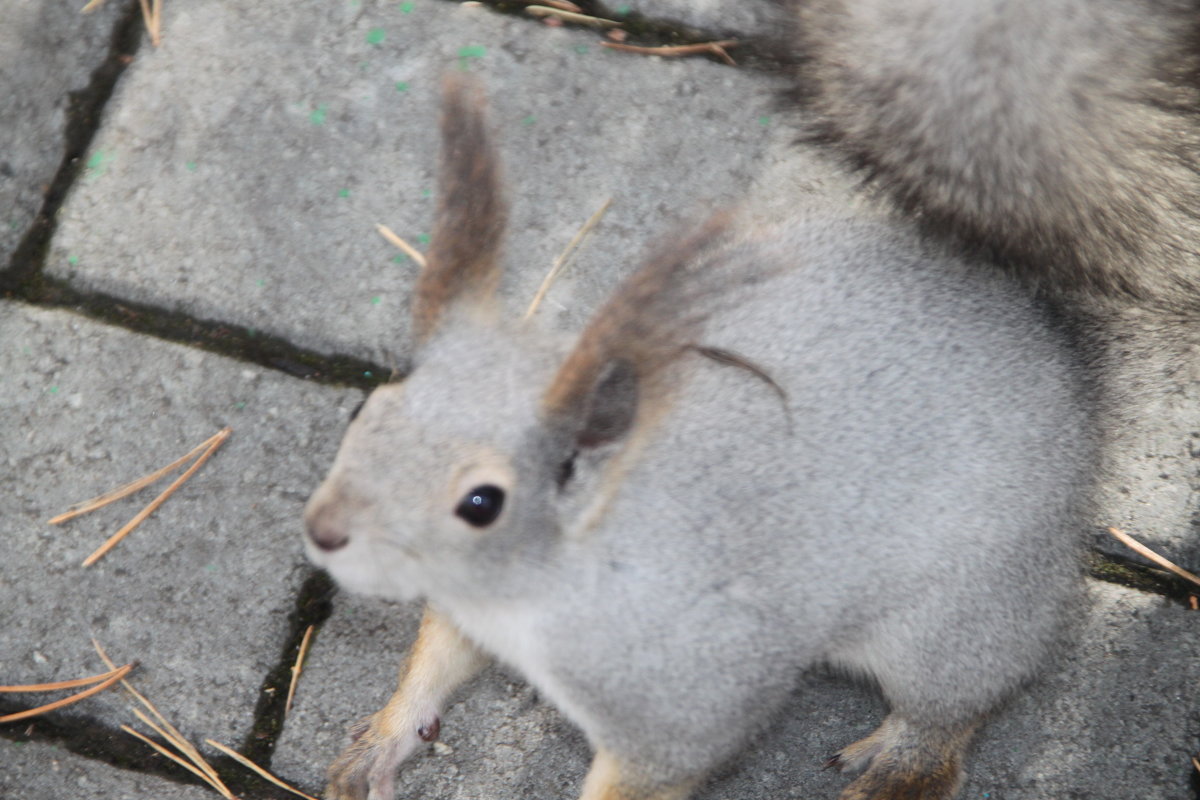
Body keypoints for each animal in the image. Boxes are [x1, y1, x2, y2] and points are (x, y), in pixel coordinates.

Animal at [302, 1, 1200, 800]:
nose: (324, 533)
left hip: (956, 615)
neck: (534, 587)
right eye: (367, 412)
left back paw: (904, 763)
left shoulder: (691, 692)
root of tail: (1056, 349)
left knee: (960, 702)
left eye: (481, 502)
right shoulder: (466, 610)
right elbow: (438, 654)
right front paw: (387, 734)